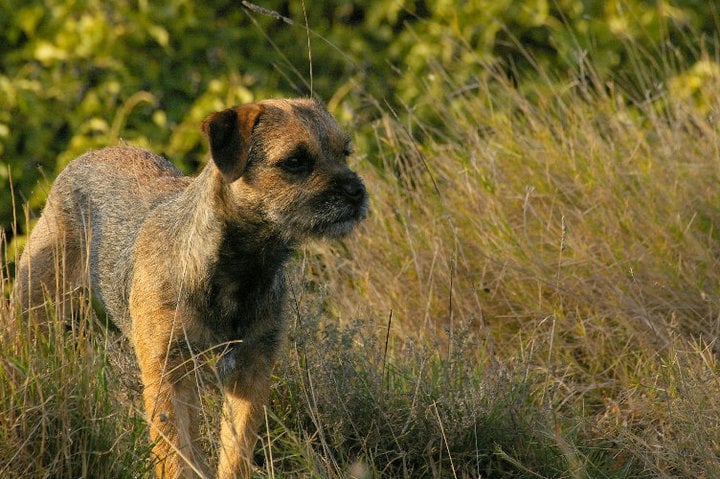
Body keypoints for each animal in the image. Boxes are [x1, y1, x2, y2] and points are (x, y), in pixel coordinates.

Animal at [14, 98, 368, 478]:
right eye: (295, 161)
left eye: (345, 152)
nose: (358, 192)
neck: (239, 269)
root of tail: (88, 156)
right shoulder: (167, 375)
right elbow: (173, 456)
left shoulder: (251, 371)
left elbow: (235, 452)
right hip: (33, 316)